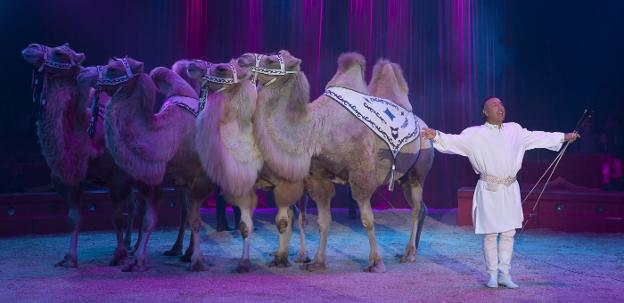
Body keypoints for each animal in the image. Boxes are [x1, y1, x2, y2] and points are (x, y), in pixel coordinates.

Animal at [22, 43, 140, 268]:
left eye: (60, 52)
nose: (31, 48)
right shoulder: (67, 179)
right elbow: (73, 217)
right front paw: (70, 258)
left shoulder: (118, 177)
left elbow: (117, 216)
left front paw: (118, 254)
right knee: (133, 205)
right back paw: (131, 243)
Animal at [77, 57, 214, 274]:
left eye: (112, 69)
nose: (85, 73)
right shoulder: (153, 179)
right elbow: (148, 219)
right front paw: (136, 260)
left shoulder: (200, 179)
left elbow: (196, 220)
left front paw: (198, 261)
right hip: (178, 182)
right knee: (183, 211)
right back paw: (178, 250)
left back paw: (187, 253)